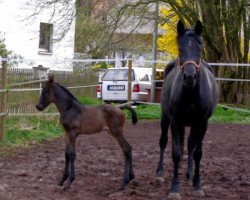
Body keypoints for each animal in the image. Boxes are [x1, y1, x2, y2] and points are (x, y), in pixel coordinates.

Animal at [156, 20, 219, 198]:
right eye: (180, 49)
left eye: (199, 49)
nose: (190, 77)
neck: (191, 92)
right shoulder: (175, 120)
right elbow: (176, 153)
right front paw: (174, 189)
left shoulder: (202, 122)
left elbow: (197, 153)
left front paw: (197, 185)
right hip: (166, 119)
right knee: (164, 142)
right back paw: (160, 173)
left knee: (190, 145)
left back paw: (190, 174)